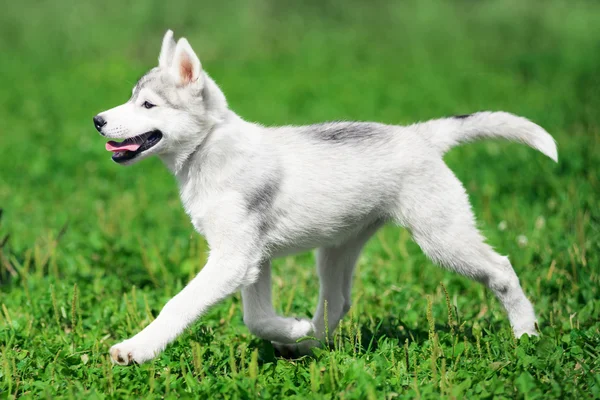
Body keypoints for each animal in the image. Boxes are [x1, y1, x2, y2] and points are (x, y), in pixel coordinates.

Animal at [94, 29, 556, 364]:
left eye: (148, 105)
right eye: (132, 99)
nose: (97, 120)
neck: (208, 149)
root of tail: (419, 135)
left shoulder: (233, 259)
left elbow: (180, 304)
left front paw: (135, 349)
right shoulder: (252, 260)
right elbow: (256, 318)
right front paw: (291, 328)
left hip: (442, 236)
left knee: (501, 270)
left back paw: (526, 332)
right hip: (337, 249)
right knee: (337, 303)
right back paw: (308, 343)